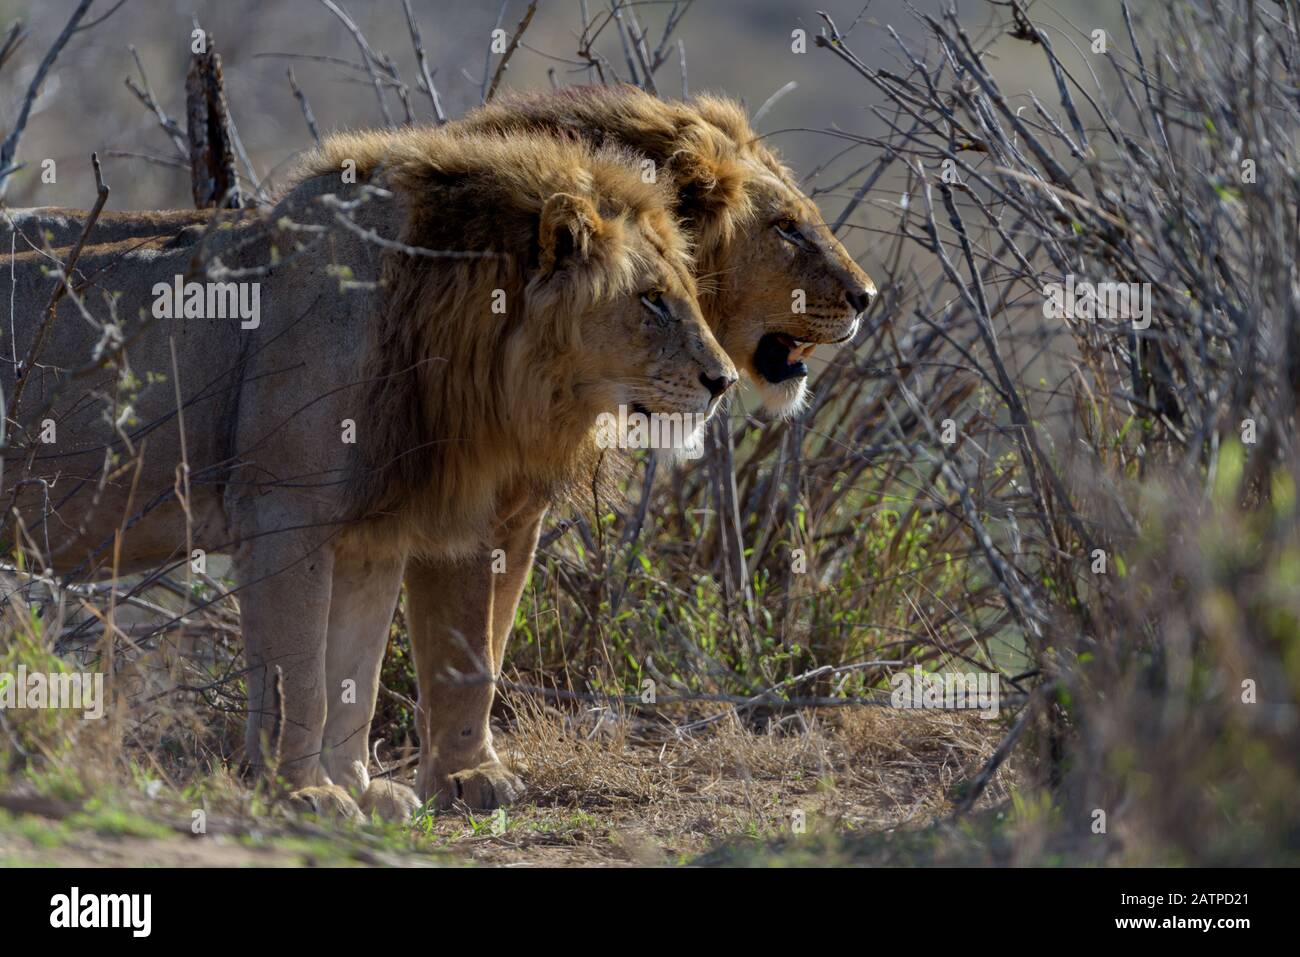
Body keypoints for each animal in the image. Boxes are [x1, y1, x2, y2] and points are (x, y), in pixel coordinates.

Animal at [0, 125, 738, 821]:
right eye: (651, 301)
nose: (725, 380)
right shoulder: (283, 510)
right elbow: (302, 676)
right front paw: (303, 791)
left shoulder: (372, 533)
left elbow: (355, 669)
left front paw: (359, 787)